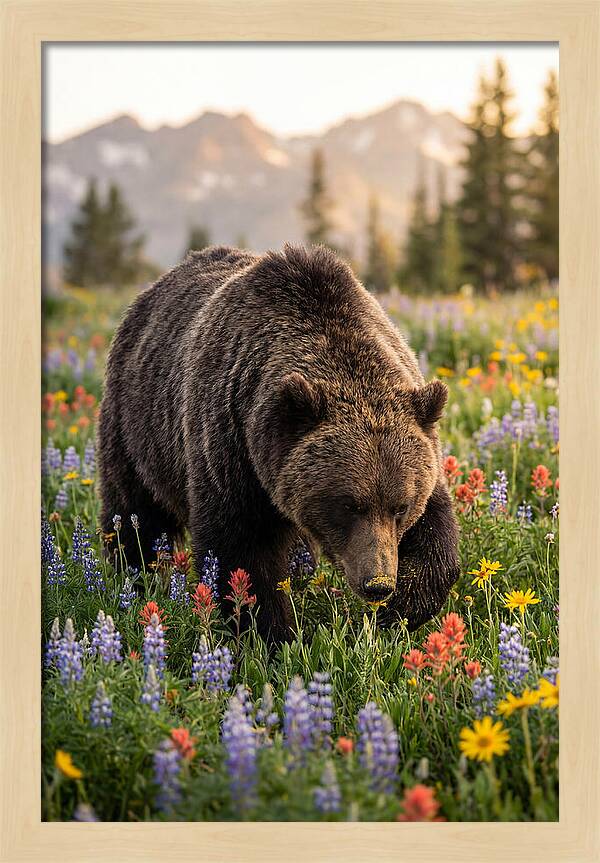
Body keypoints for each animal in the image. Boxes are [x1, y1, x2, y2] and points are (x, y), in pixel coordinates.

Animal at [97, 244, 459, 642]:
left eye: (401, 506)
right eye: (348, 505)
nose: (377, 583)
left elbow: (436, 532)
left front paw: (400, 611)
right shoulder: (231, 446)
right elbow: (241, 552)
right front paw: (271, 635)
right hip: (137, 427)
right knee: (135, 512)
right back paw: (132, 577)